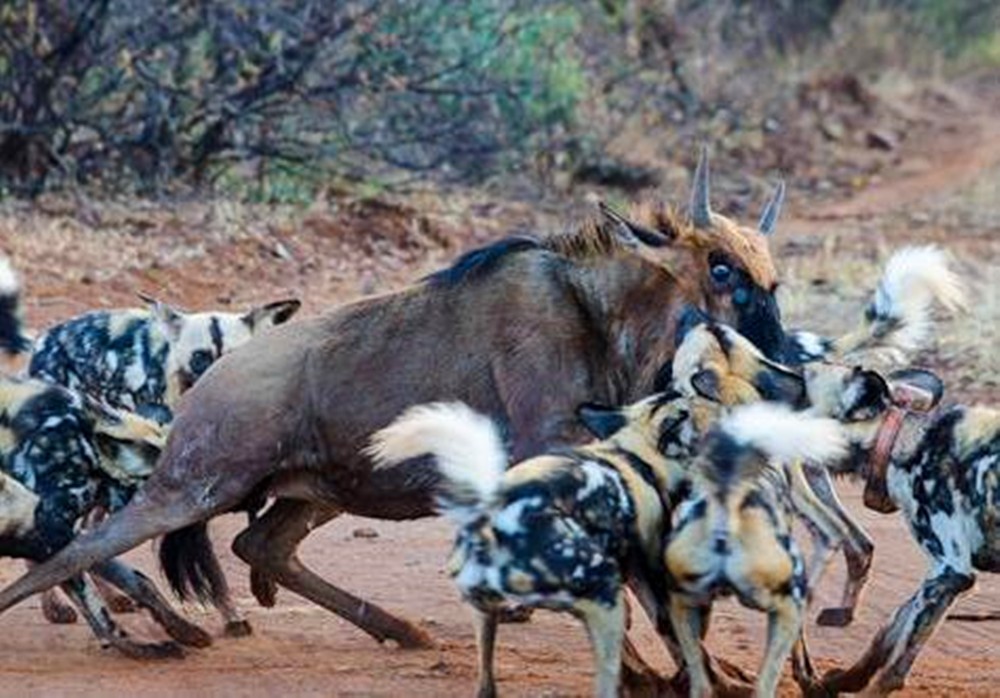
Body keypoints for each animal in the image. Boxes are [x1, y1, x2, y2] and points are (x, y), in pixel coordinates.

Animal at [0, 148, 796, 656]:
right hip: (191, 488)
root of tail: (206, 382)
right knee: (75, 548)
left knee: (259, 546)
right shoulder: (555, 451)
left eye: (773, 278)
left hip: (314, 493)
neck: (595, 314)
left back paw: (395, 632)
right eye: (720, 269)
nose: (781, 362)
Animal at [368, 392, 712, 696]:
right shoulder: (655, 582)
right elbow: (690, 648)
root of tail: (491, 519)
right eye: (688, 404)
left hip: (486, 616)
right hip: (606, 602)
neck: (636, 453)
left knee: (486, 686)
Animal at [664, 402, 844, 696]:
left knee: (701, 684)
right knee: (763, 687)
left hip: (680, 604)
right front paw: (807, 676)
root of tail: (727, 502)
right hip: (782, 607)